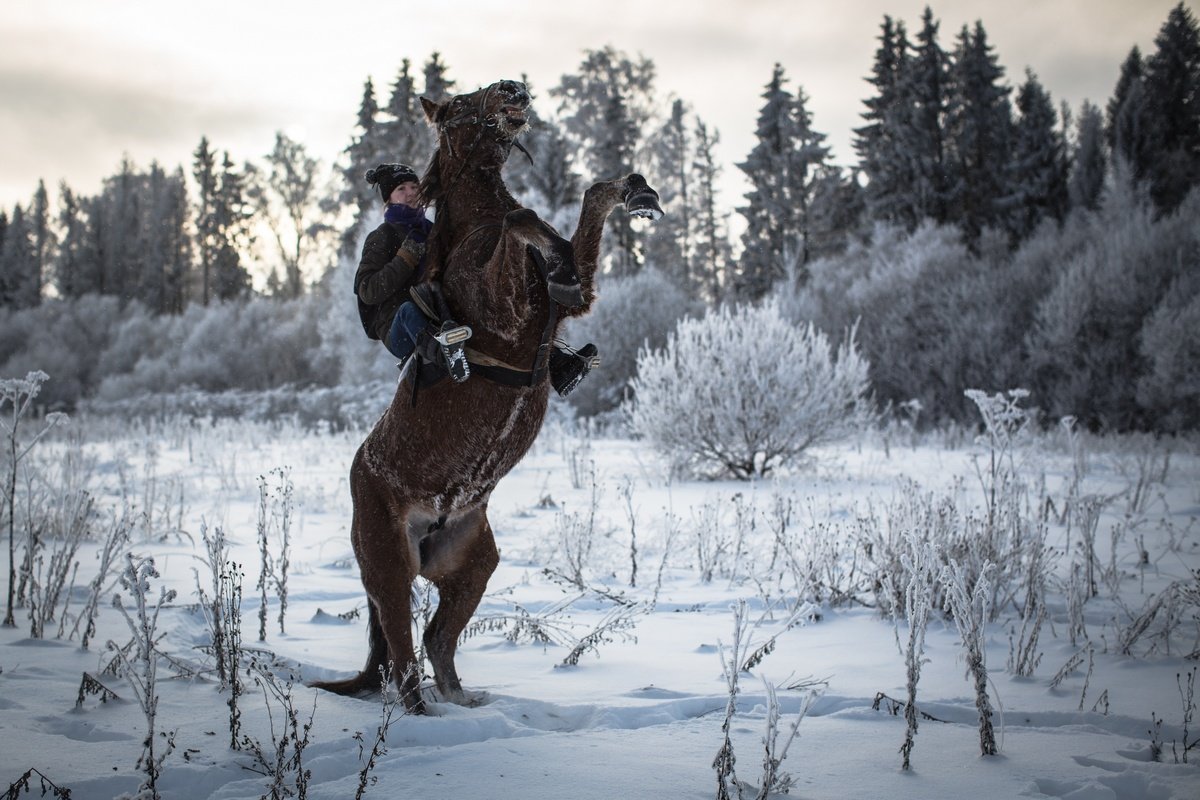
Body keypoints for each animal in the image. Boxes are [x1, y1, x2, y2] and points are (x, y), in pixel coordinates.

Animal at [309, 77, 662, 710]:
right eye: (456, 105)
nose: (512, 89)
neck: (472, 223)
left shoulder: (571, 303)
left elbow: (589, 204)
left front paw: (637, 192)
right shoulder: (503, 307)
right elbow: (519, 219)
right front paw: (549, 248)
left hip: (475, 564)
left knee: (436, 641)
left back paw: (466, 704)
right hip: (389, 566)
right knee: (401, 654)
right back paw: (423, 716)